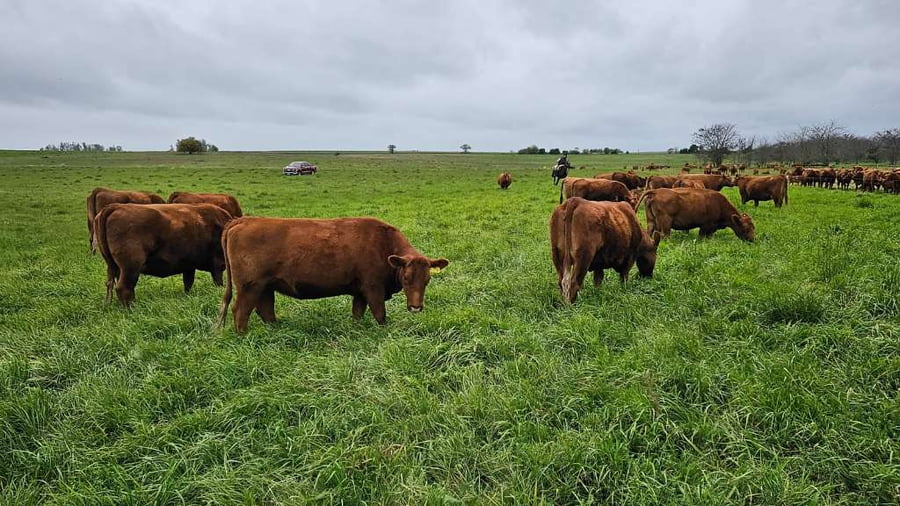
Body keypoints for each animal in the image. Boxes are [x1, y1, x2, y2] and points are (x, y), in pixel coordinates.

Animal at [94, 203, 233, 306]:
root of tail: (115, 207)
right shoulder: (217, 265)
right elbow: (218, 282)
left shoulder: (189, 265)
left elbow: (188, 282)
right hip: (131, 267)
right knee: (124, 287)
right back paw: (131, 308)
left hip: (113, 266)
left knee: (113, 284)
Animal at [216, 217, 449, 332]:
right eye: (407, 278)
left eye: (427, 280)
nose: (416, 307)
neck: (383, 244)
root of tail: (243, 220)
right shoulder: (373, 288)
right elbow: (380, 315)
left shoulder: (359, 291)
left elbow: (357, 313)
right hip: (249, 286)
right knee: (240, 312)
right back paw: (244, 336)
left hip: (265, 286)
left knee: (265, 311)